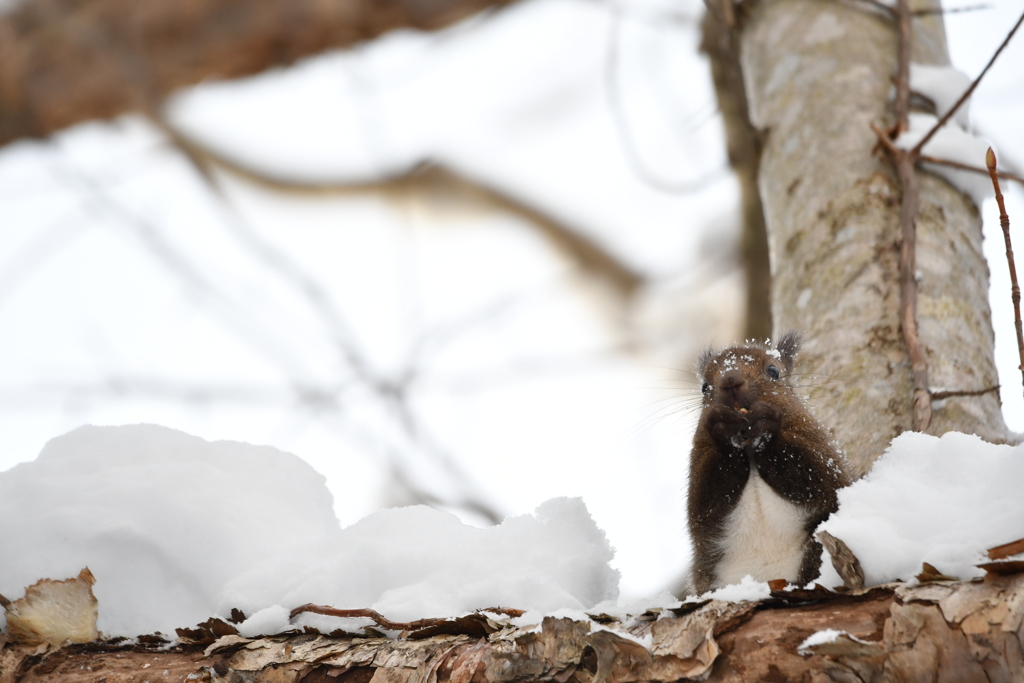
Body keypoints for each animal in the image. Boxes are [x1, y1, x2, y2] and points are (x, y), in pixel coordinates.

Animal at [688, 333, 847, 593]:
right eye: (704, 387)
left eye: (774, 371)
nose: (730, 380)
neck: (749, 447)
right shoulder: (700, 463)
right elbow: (704, 511)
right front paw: (722, 426)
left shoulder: (823, 454)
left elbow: (820, 481)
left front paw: (765, 422)